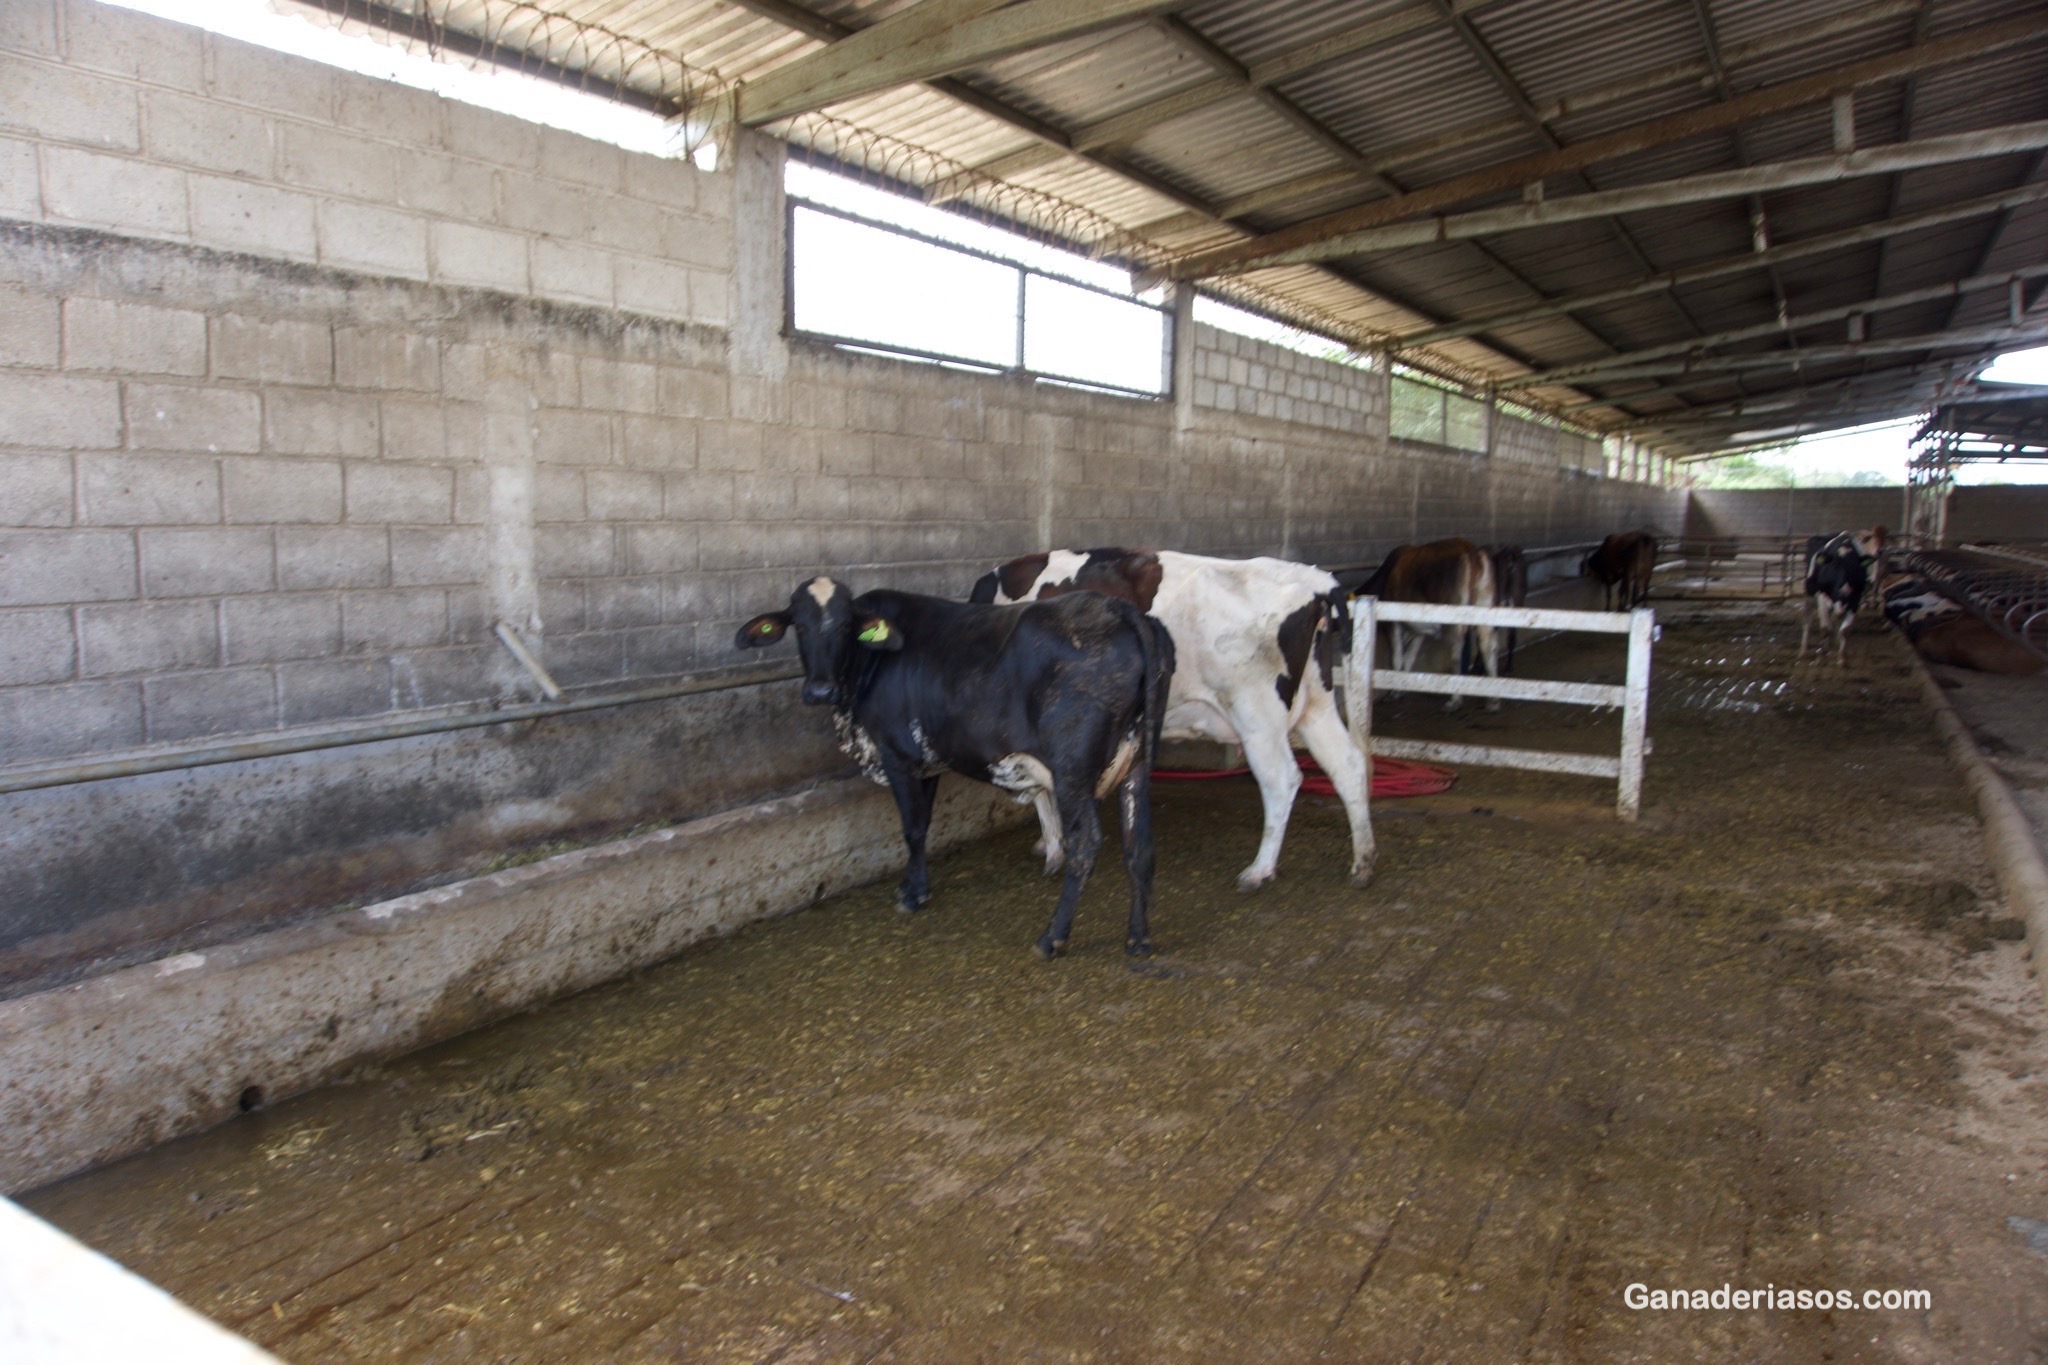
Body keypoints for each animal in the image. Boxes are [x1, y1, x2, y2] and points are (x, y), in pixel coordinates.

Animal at [745, 577, 1179, 961]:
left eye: (846, 626)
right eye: (799, 625)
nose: (820, 690)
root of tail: (1113, 607)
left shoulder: (897, 756)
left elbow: (911, 827)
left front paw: (913, 895)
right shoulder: (928, 763)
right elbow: (923, 825)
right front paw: (913, 886)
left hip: (1072, 769)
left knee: (1086, 842)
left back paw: (1051, 938)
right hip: (1137, 763)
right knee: (1139, 844)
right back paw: (1138, 939)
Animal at [966, 548, 1368, 892]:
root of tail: (1311, 579)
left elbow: (1039, 789)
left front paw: (1053, 849)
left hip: (1256, 714)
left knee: (1282, 780)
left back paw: (1259, 871)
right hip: (1316, 703)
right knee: (1347, 764)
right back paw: (1363, 861)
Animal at [1368, 536, 1499, 716]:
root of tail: (1469, 547)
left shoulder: (1393, 623)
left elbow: (1397, 657)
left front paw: (1394, 691)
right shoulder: (1418, 630)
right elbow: (1409, 656)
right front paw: (1402, 687)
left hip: (1453, 619)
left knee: (1457, 654)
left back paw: (1454, 700)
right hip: (1484, 610)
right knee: (1488, 646)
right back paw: (1493, 700)